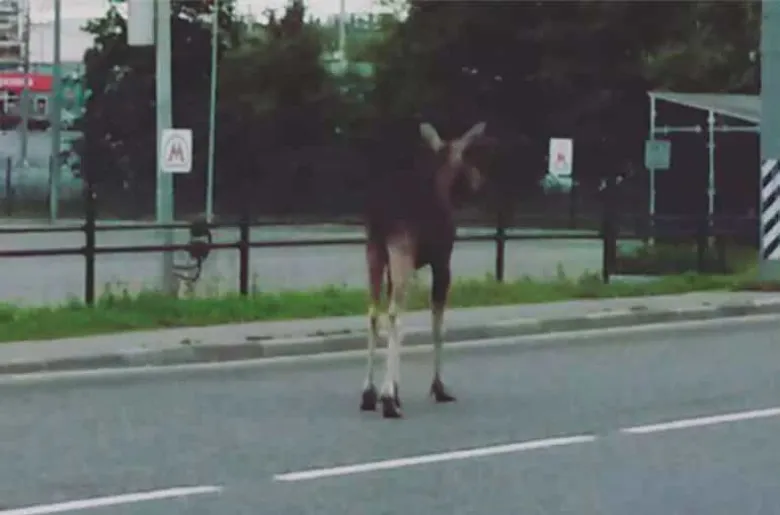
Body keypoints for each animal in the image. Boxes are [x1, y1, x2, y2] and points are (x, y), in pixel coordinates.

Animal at [360, 120, 488, 419]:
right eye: (465, 154)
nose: (477, 179)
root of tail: (381, 216)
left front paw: (396, 388)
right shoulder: (443, 262)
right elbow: (437, 325)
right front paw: (438, 387)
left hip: (374, 252)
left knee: (374, 312)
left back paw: (369, 393)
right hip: (401, 251)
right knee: (395, 314)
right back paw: (388, 399)